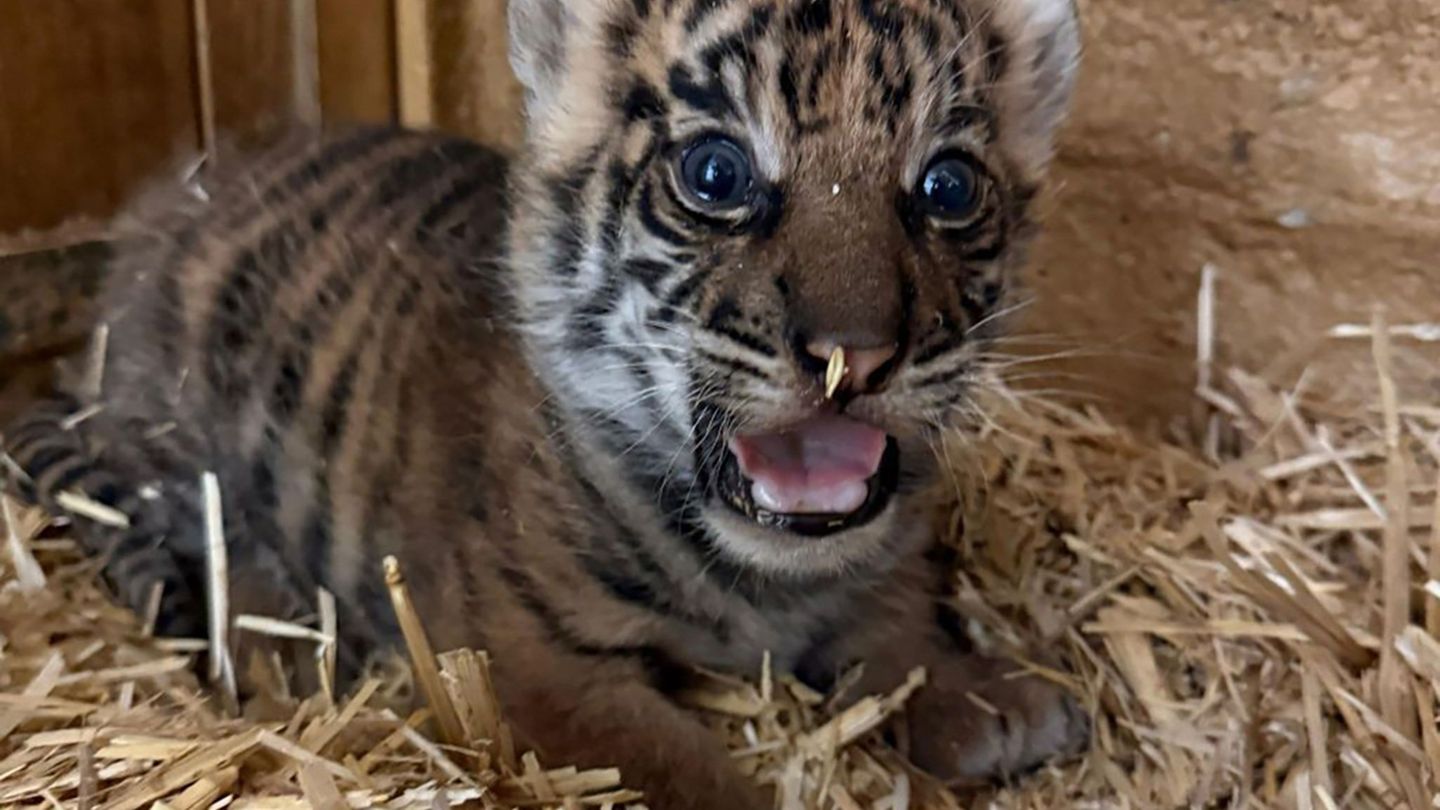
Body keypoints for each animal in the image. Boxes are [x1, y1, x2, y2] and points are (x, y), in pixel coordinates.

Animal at [2, 0, 1087, 806]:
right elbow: (680, 766)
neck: (763, 578)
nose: (852, 357)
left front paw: (990, 703)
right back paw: (281, 658)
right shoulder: (531, 664)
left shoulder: (881, 558)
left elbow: (897, 623)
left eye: (948, 188)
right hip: (177, 435)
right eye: (716, 174)